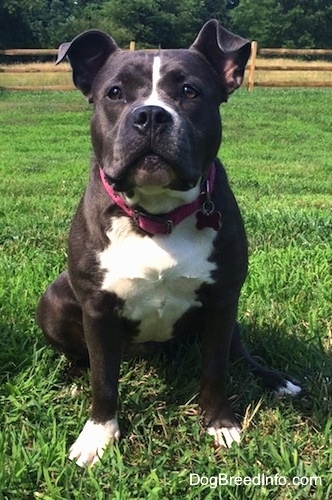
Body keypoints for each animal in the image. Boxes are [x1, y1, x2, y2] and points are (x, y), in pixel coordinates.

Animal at [37, 18, 300, 464]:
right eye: (115, 93)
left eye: (190, 91)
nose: (150, 115)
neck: (157, 216)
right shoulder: (98, 309)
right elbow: (103, 379)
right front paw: (98, 435)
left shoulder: (222, 301)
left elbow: (215, 368)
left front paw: (220, 423)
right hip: (53, 302)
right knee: (83, 357)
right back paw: (73, 379)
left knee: (240, 354)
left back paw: (276, 380)